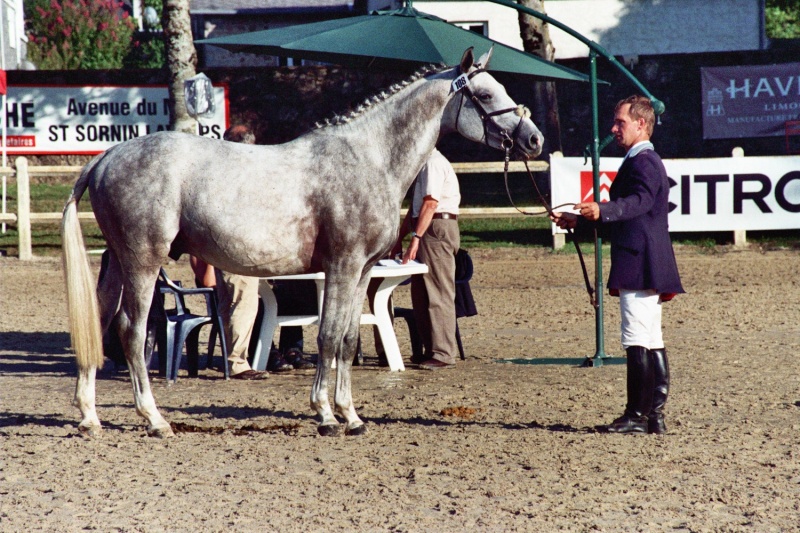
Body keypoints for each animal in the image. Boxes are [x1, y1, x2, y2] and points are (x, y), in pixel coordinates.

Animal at [61, 48, 544, 436]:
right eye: (485, 96)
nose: (534, 139)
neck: (369, 158)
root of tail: (106, 158)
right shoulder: (342, 267)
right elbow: (327, 338)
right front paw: (327, 416)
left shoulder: (362, 271)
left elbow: (347, 339)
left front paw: (351, 416)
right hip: (143, 261)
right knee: (131, 329)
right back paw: (154, 419)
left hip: (117, 263)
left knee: (99, 323)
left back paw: (90, 417)